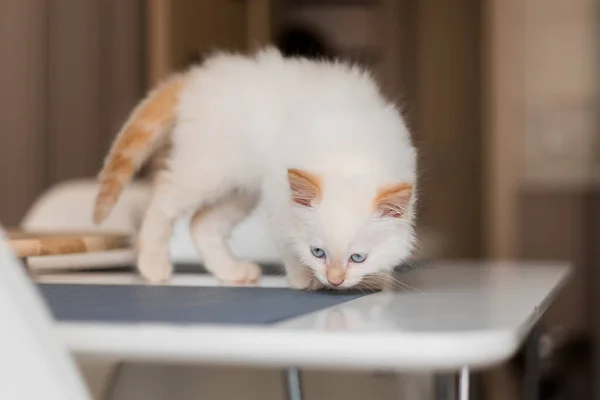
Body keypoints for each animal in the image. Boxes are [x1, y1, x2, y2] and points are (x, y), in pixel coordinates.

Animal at [95, 47, 418, 290]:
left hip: (241, 189)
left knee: (202, 223)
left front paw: (379, 277)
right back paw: (153, 264)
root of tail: (199, 77)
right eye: (318, 252)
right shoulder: (279, 195)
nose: (334, 280)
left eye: (357, 258)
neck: (346, 155)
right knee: (163, 200)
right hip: (206, 169)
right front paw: (303, 278)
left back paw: (231, 271)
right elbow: (288, 244)